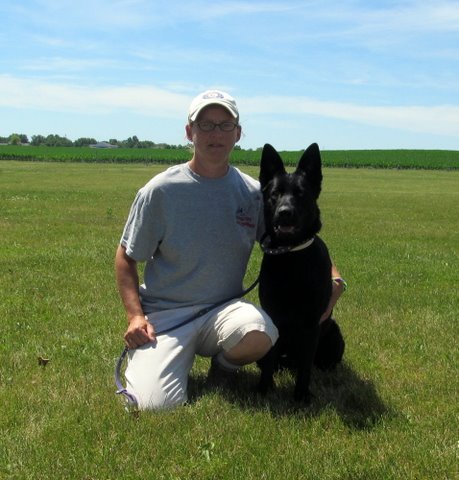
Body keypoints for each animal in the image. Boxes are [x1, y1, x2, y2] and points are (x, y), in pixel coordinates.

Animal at [258, 142, 344, 402]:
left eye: (301, 194)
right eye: (275, 194)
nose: (285, 212)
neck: (291, 256)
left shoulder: (311, 323)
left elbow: (306, 366)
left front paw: (301, 397)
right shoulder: (273, 315)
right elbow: (269, 361)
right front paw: (264, 390)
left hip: (334, 334)